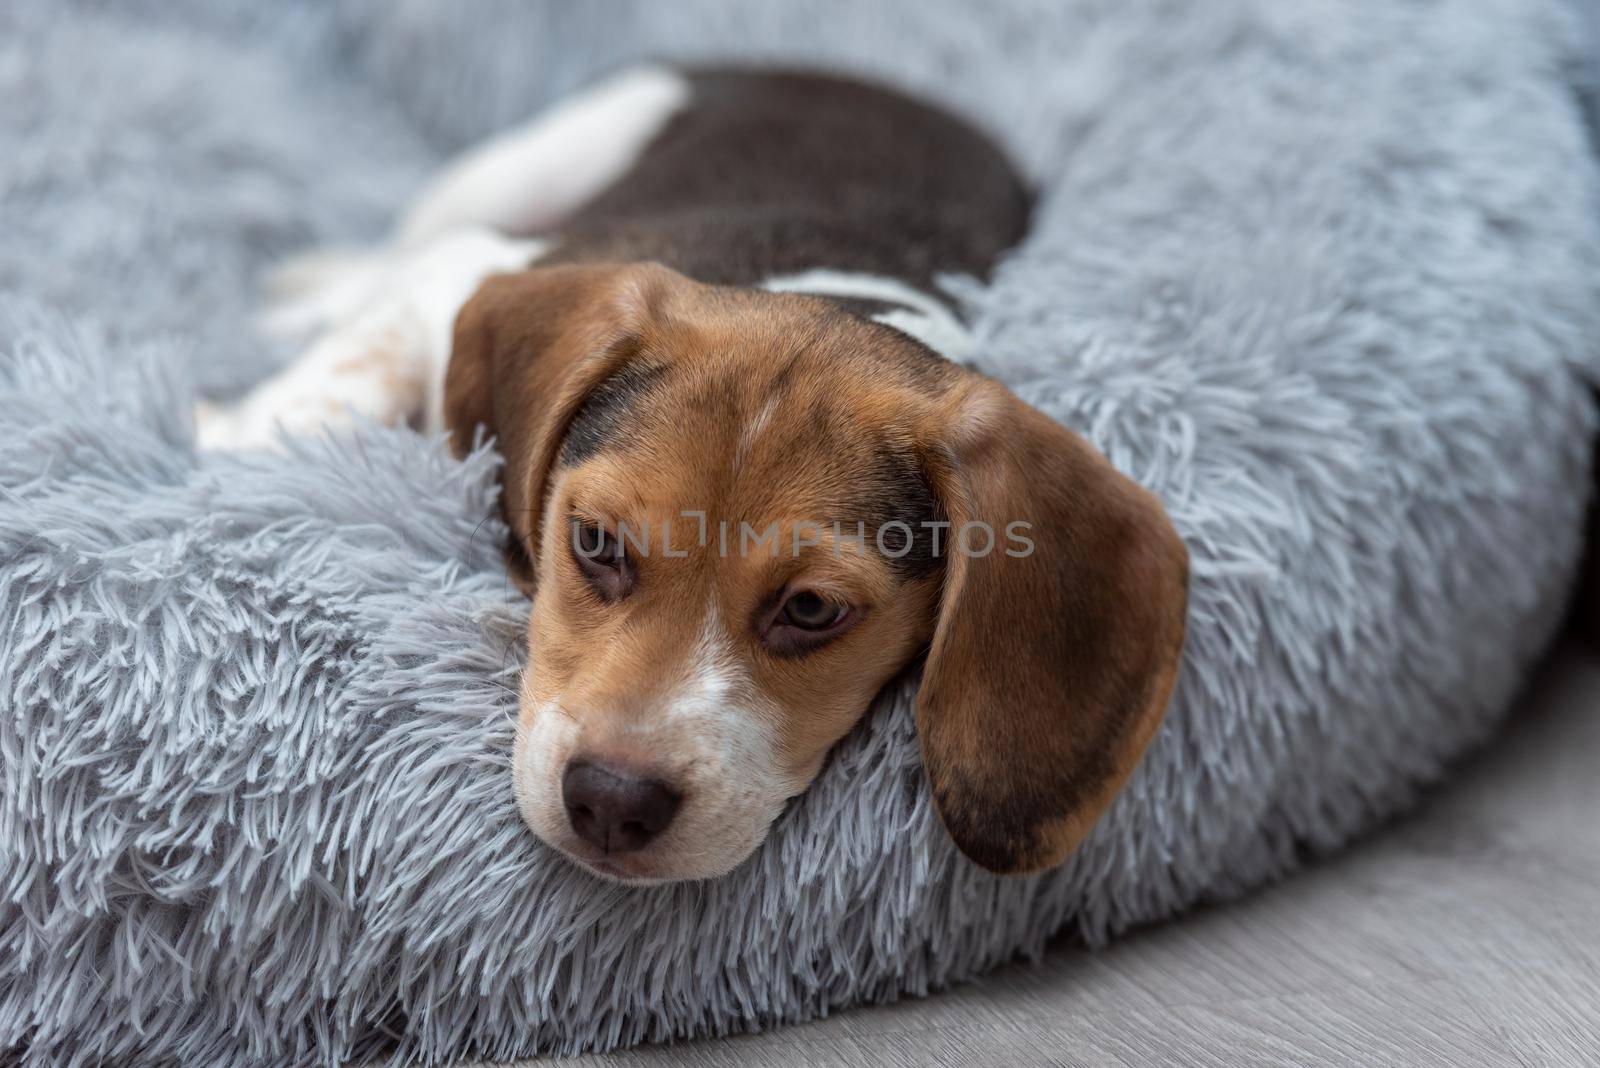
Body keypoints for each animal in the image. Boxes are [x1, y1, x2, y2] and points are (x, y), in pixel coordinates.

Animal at [203, 64, 1190, 882]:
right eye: (595, 543)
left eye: (812, 610)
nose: (611, 802)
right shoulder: (463, 274)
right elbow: (346, 375)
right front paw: (247, 437)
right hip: (535, 161)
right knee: (393, 252)